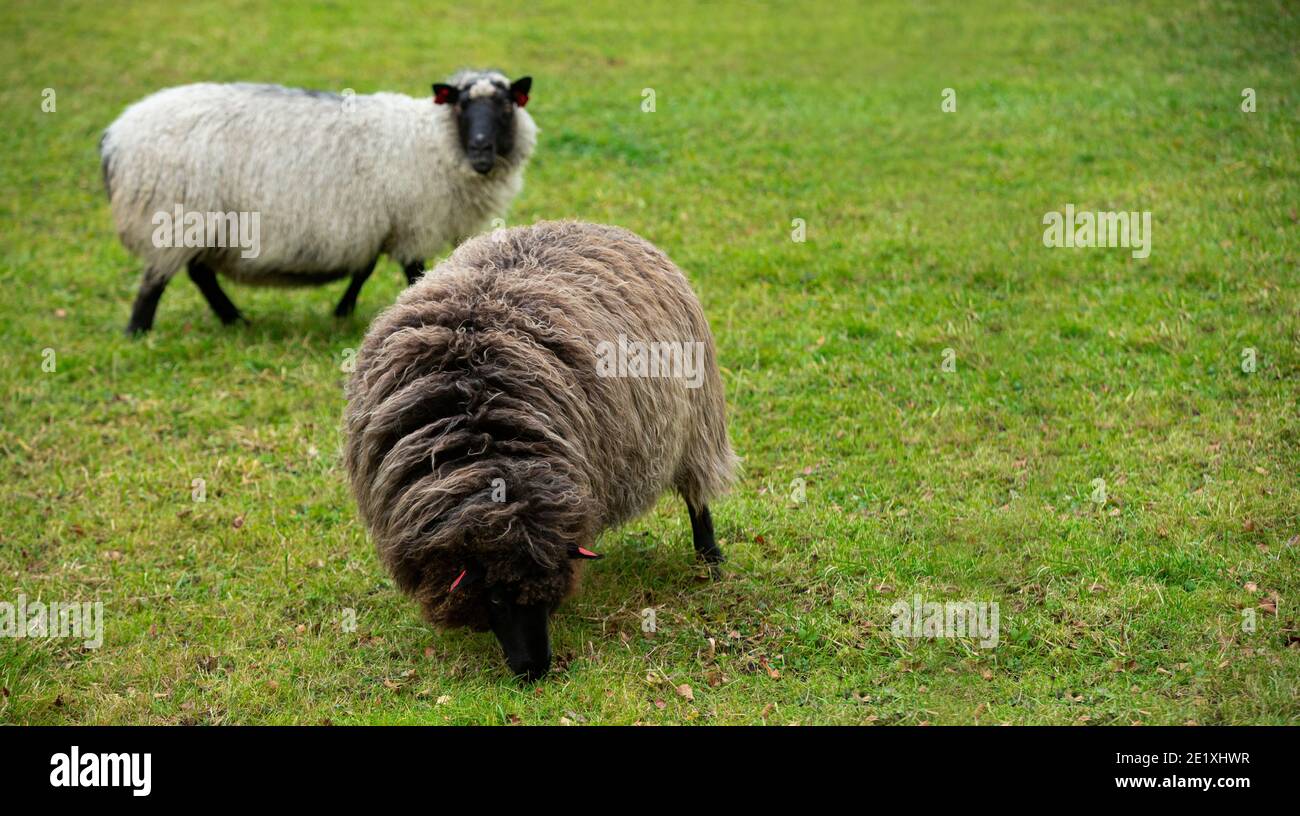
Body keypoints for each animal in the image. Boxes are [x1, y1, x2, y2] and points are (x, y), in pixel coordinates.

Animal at [99, 70, 536, 334]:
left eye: (506, 105)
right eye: (462, 105)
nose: (481, 150)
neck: (433, 140)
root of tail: (116, 136)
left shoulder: (380, 224)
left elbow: (363, 269)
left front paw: (342, 311)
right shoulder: (413, 224)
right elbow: (411, 272)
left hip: (199, 222)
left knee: (199, 273)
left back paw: (233, 318)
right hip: (174, 214)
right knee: (156, 279)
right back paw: (138, 331)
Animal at [343, 220, 737, 681]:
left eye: (544, 593)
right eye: (495, 596)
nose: (534, 669)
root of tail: (591, 224)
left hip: (696, 424)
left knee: (697, 497)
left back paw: (710, 559)